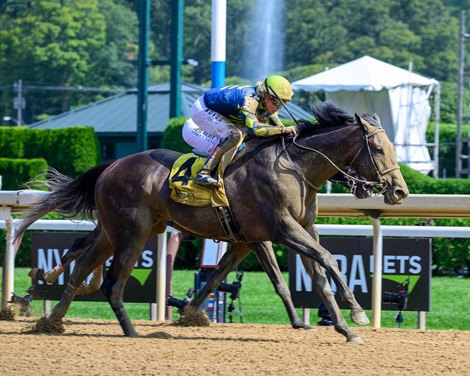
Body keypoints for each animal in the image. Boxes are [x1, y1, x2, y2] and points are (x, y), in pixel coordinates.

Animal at [14, 101, 408, 342]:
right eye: (378, 149)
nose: (400, 191)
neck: (293, 166)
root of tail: (111, 166)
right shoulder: (282, 229)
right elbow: (326, 261)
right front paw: (357, 313)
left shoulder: (285, 231)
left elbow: (313, 278)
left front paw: (343, 328)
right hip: (133, 232)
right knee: (111, 281)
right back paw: (131, 332)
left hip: (117, 231)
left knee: (83, 265)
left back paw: (52, 321)